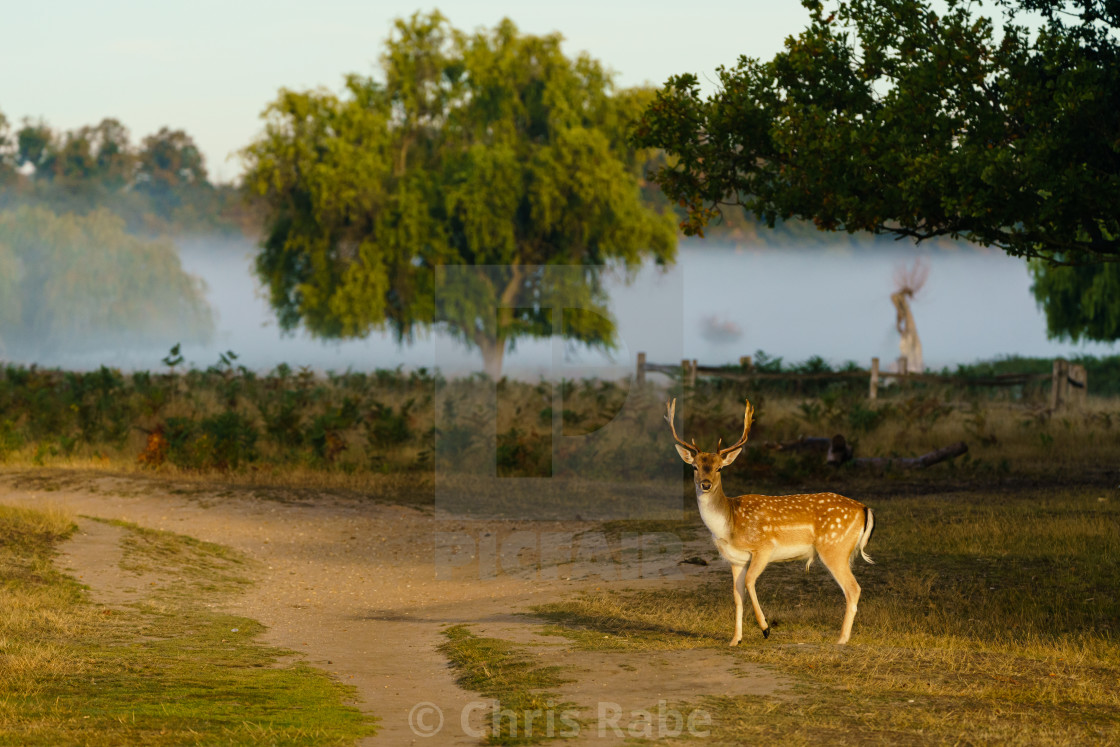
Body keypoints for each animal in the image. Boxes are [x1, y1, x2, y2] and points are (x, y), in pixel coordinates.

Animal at [663, 400, 873, 645]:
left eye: (719, 468)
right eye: (695, 466)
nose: (705, 484)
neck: (729, 524)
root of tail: (864, 508)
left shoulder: (763, 548)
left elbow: (749, 582)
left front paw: (765, 628)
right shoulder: (735, 560)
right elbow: (737, 595)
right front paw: (735, 640)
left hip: (834, 548)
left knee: (853, 588)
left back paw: (841, 639)